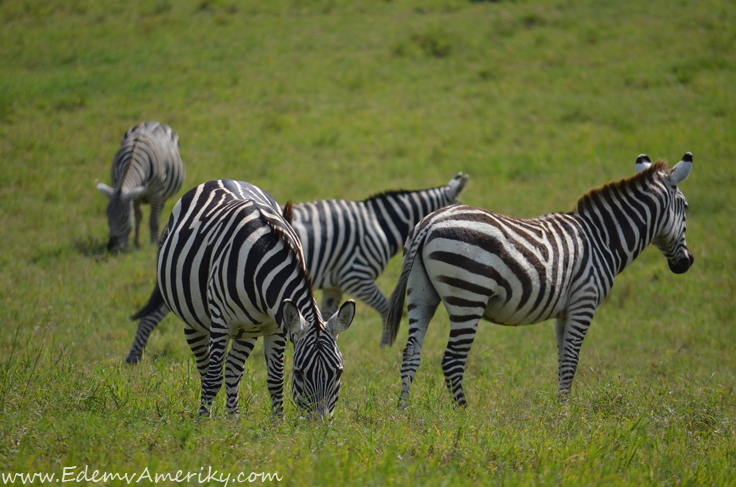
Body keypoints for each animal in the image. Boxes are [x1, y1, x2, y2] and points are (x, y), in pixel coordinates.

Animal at [95, 122, 185, 254]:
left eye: (126, 217)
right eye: (107, 215)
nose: (112, 248)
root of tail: (153, 123)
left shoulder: (156, 193)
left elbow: (153, 220)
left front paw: (153, 242)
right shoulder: (135, 196)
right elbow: (138, 216)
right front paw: (135, 242)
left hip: (163, 193)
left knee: (158, 212)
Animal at [122, 172, 466, 362]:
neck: (379, 223)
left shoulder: (333, 285)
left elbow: (326, 316)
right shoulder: (356, 275)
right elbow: (385, 308)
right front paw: (384, 345)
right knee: (154, 315)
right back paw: (133, 359)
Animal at [156, 181, 356, 418]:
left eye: (339, 372)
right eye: (299, 373)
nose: (320, 423)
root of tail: (220, 180)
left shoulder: (276, 326)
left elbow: (275, 380)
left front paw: (278, 422)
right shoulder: (221, 323)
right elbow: (213, 379)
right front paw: (202, 423)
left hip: (248, 329)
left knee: (233, 369)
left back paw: (232, 420)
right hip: (194, 321)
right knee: (206, 369)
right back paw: (210, 415)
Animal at [386, 154, 696, 406]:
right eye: (686, 207)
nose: (687, 263)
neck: (601, 239)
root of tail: (429, 222)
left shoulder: (565, 311)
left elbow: (562, 360)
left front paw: (560, 407)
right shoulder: (584, 302)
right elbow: (571, 361)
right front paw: (565, 415)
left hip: (420, 293)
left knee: (411, 352)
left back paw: (404, 412)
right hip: (469, 296)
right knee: (452, 360)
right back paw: (463, 413)